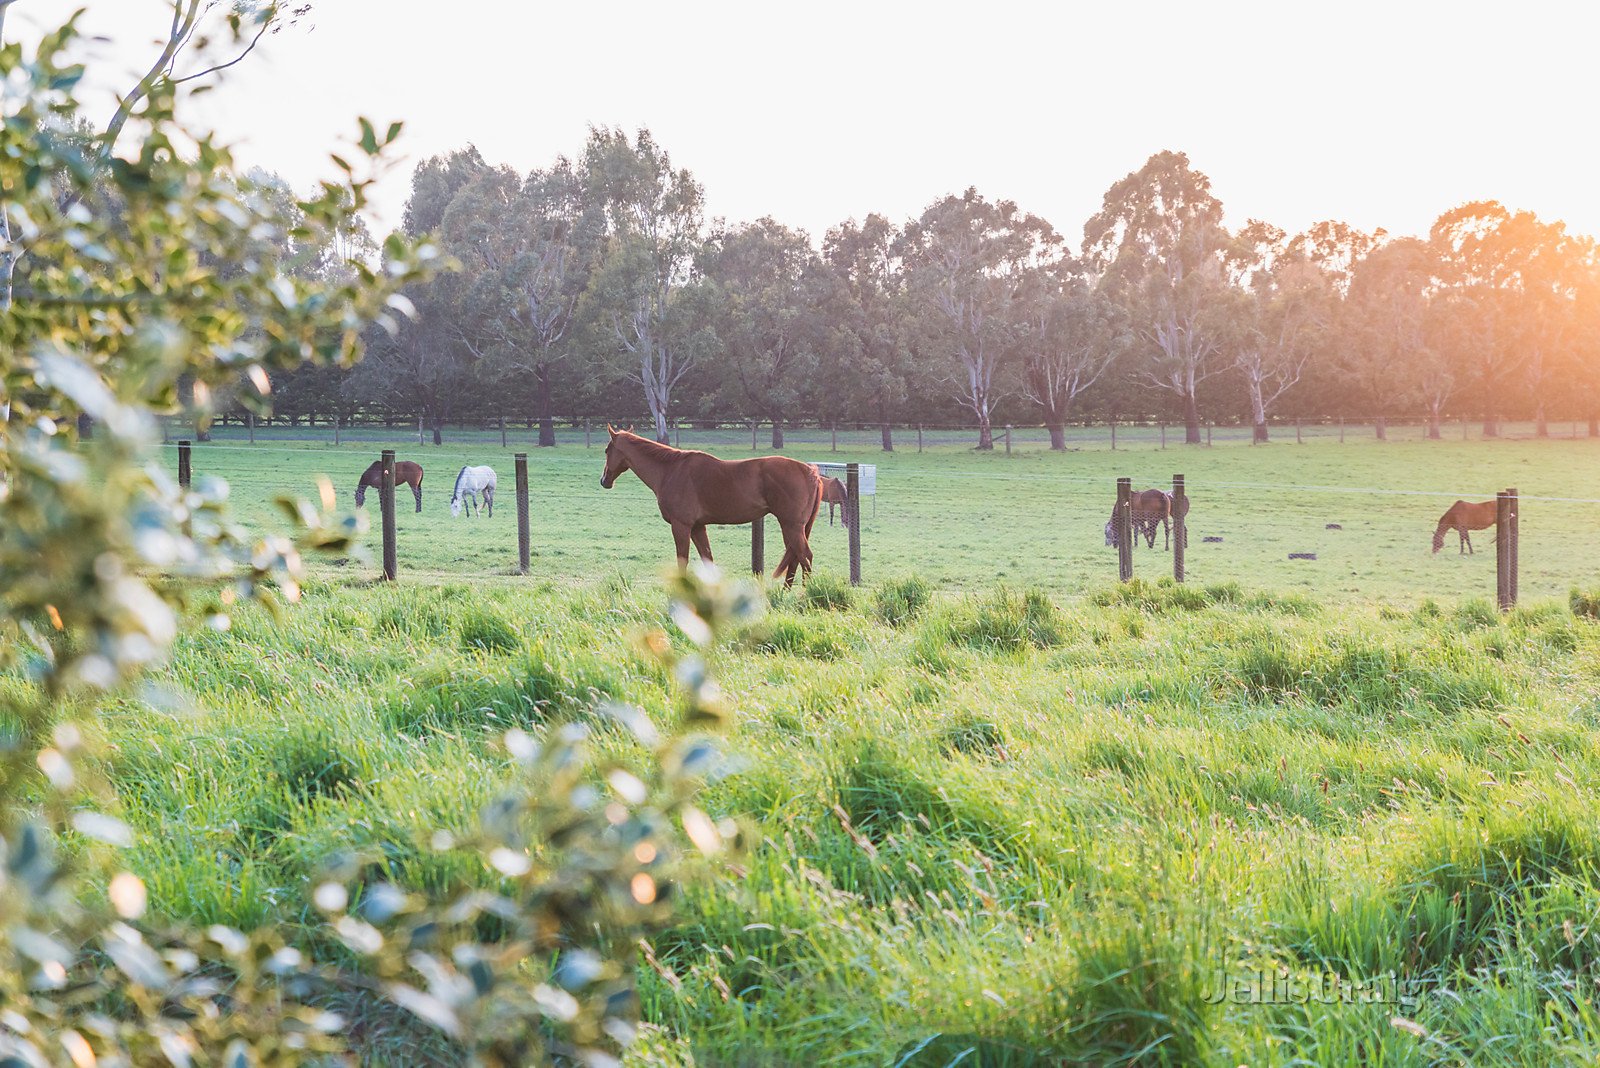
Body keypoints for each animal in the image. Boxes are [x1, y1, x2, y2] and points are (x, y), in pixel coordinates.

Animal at [601, 428, 825, 588]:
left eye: (607, 450)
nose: (604, 481)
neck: (670, 470)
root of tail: (811, 472)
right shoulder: (698, 527)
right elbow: (707, 559)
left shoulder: (681, 526)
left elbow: (682, 560)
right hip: (793, 527)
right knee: (795, 557)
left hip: (791, 525)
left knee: (805, 555)